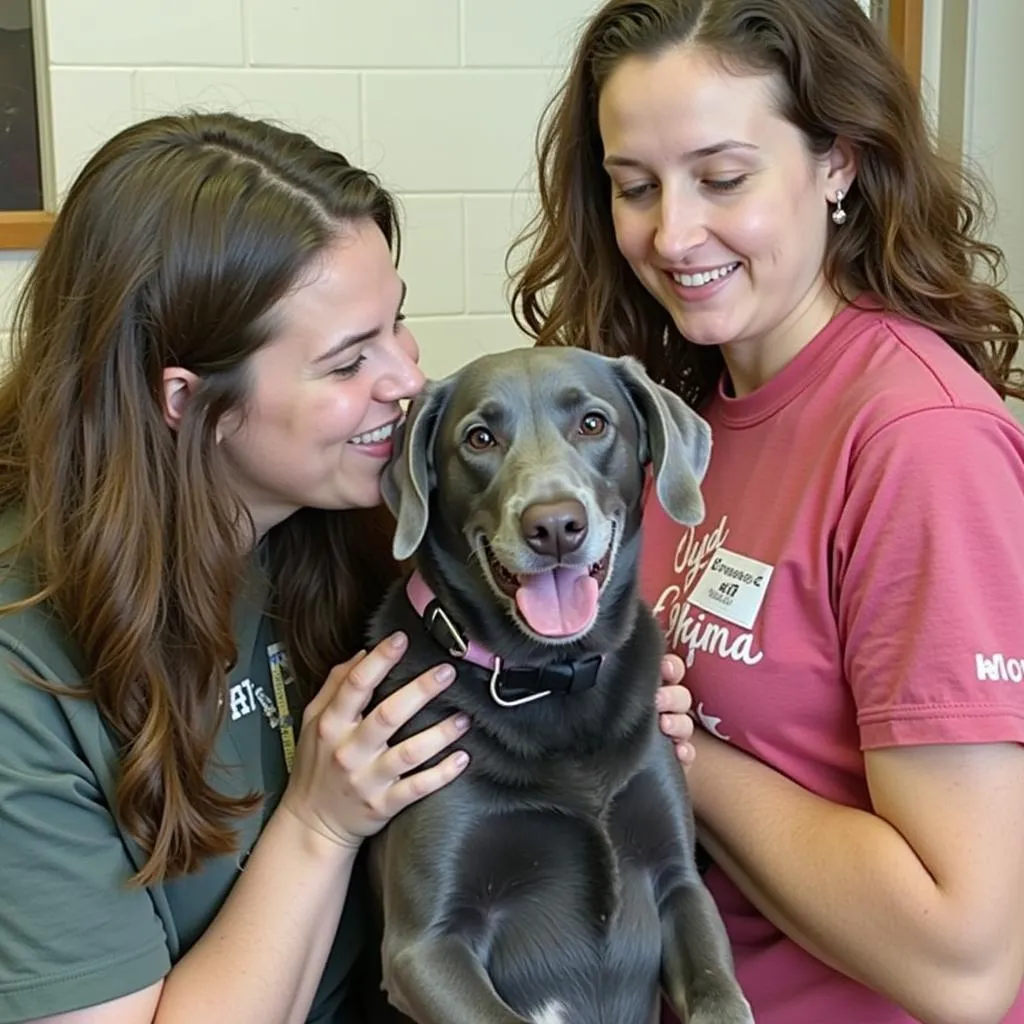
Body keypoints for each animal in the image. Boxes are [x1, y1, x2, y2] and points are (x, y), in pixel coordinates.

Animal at [368, 346, 753, 1024]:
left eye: (593, 424)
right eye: (480, 437)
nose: (554, 526)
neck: (555, 681)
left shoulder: (681, 883)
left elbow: (719, 994)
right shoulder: (425, 946)